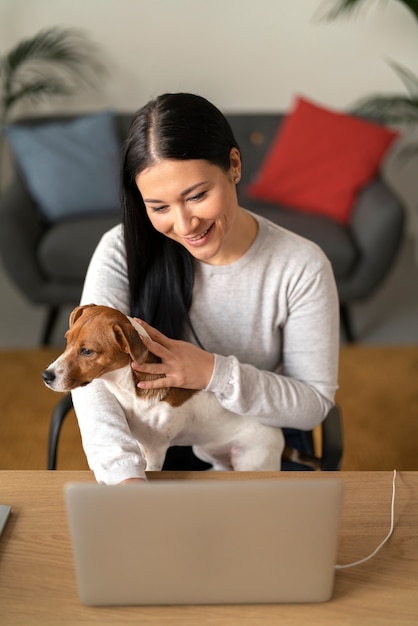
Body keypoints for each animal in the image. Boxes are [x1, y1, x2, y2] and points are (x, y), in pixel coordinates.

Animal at [43, 304, 310, 470]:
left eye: (87, 351)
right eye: (66, 340)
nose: (46, 376)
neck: (129, 389)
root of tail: (279, 436)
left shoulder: (156, 450)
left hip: (253, 460)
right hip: (207, 451)